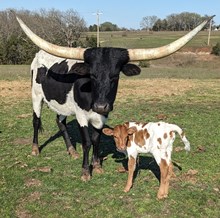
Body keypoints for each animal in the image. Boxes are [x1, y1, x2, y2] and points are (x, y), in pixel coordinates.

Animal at [16, 16, 212, 181]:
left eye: (115, 76)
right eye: (92, 75)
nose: (101, 105)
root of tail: (38, 55)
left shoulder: (102, 117)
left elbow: (96, 139)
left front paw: (97, 166)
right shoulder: (81, 115)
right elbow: (87, 142)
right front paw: (86, 172)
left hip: (62, 104)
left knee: (60, 121)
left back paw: (71, 151)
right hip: (36, 96)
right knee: (36, 120)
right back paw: (35, 149)